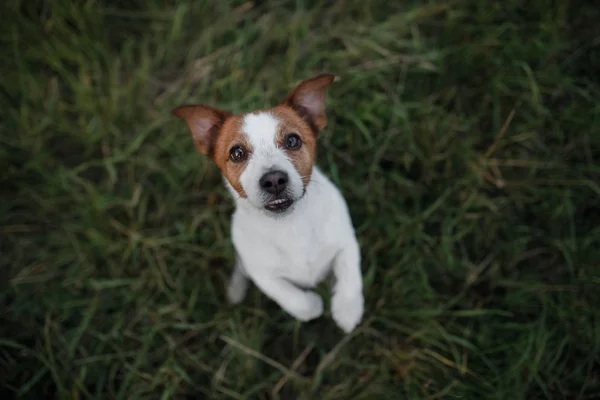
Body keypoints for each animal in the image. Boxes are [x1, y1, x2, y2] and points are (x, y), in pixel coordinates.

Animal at [171, 73, 364, 332]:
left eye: (292, 140)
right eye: (237, 153)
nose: (273, 180)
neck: (289, 224)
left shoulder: (346, 242)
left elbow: (349, 274)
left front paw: (347, 309)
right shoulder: (263, 275)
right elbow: (295, 299)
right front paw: (314, 305)